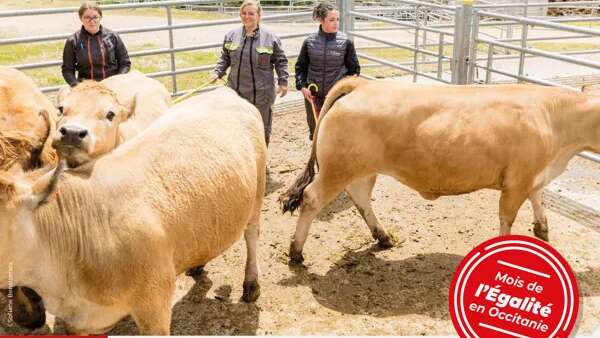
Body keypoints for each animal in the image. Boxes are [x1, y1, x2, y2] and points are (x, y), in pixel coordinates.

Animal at [0, 88, 268, 336]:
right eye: (60, 109)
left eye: (110, 114)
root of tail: (224, 91)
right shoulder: (78, 322)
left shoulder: (155, 304)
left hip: (257, 191)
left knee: (252, 234)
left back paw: (251, 284)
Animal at [280, 77, 600, 264]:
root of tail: (363, 84)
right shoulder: (517, 182)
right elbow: (507, 218)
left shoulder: (534, 175)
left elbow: (539, 201)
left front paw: (542, 231)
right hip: (337, 170)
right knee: (311, 199)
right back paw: (296, 251)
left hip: (360, 170)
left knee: (360, 198)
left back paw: (383, 237)